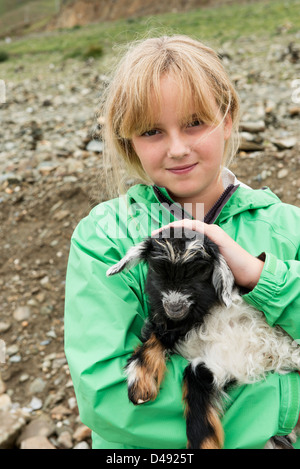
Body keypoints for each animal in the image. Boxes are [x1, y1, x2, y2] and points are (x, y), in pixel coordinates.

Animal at [107, 229, 300, 448]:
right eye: (156, 269)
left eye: (200, 271)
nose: (174, 306)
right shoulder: (225, 362)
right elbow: (192, 374)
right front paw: (140, 385)